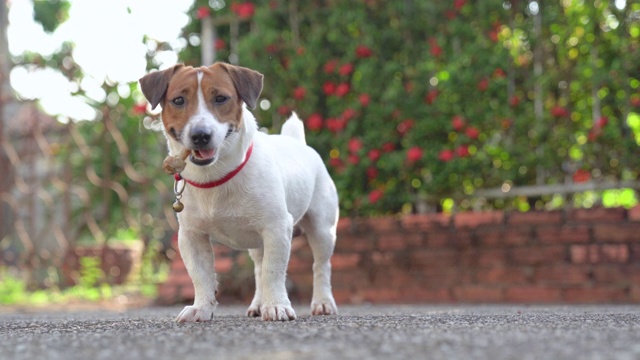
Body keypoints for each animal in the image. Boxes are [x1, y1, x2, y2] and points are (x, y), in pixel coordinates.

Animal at [139, 63, 340, 322]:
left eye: (221, 98)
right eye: (179, 100)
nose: (200, 135)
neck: (216, 178)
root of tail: (297, 142)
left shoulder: (277, 227)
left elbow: (273, 271)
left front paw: (276, 305)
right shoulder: (191, 236)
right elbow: (201, 276)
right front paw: (201, 307)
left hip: (322, 229)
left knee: (320, 265)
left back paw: (323, 302)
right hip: (256, 242)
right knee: (258, 268)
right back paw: (258, 304)